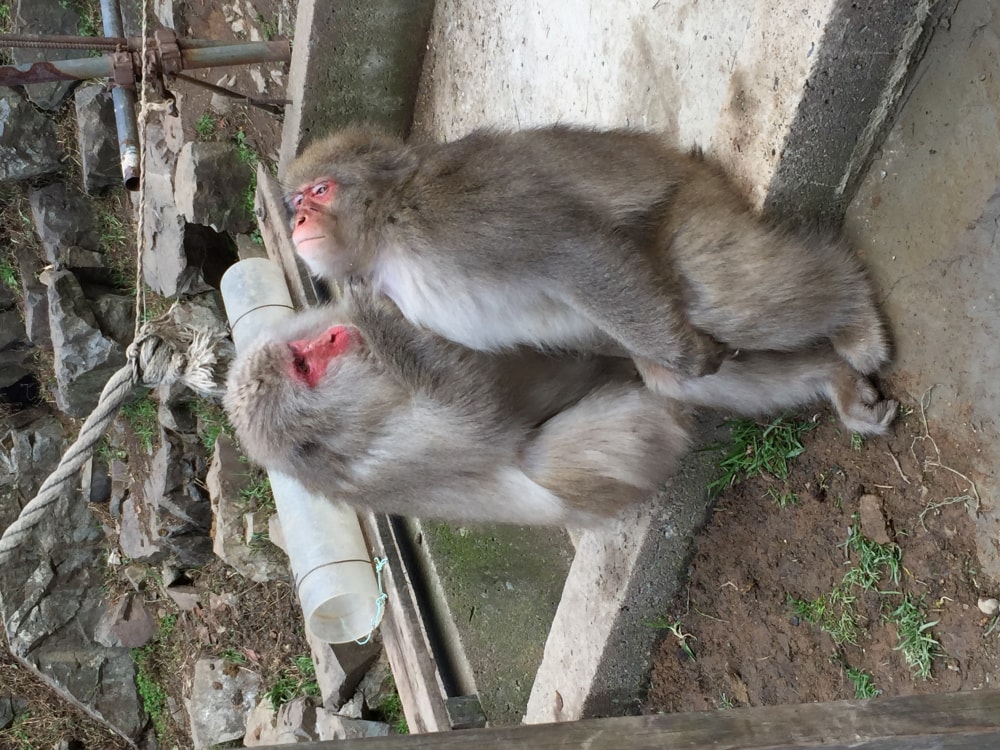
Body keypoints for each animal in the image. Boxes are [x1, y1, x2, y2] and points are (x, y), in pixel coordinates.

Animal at [224, 280, 897, 527]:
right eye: (306, 366)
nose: (337, 337)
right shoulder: (389, 457)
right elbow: (482, 424)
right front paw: (382, 320)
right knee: (555, 459)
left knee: (666, 375)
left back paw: (836, 377)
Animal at [283, 126, 892, 396]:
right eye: (296, 200)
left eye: (320, 190)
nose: (295, 223)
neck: (384, 235)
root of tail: (693, 164)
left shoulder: (446, 215)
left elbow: (569, 250)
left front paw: (691, 357)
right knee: (665, 369)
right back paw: (836, 381)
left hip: (686, 203)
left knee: (729, 300)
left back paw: (854, 313)